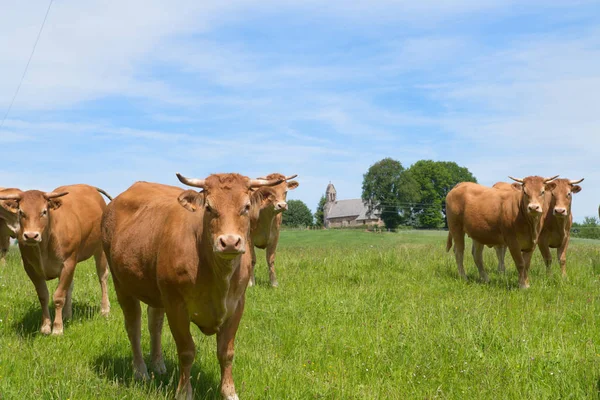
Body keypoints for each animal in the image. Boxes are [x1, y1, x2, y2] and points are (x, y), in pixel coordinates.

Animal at [0, 184, 111, 334]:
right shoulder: (31, 268)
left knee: (102, 277)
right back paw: (67, 315)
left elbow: (58, 297)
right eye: (21, 212)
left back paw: (105, 309)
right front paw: (46, 326)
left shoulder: (68, 263)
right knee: (69, 286)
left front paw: (57, 328)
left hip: (100, 249)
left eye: (44, 211)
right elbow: (43, 296)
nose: (31, 236)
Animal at [101, 173, 284, 400]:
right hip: (122, 283)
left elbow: (226, 353)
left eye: (247, 206)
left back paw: (158, 364)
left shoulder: (237, 305)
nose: (229, 242)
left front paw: (229, 392)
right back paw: (141, 371)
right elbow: (187, 351)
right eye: (209, 207)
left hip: (157, 291)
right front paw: (183, 392)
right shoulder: (176, 305)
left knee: (155, 323)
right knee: (134, 325)